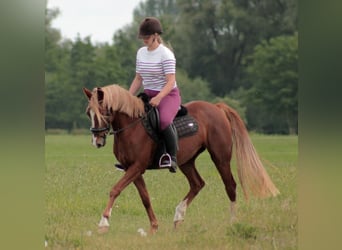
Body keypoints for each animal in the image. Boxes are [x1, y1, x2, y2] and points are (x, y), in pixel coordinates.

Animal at [82, 84, 278, 234]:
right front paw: (154, 227)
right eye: (88, 113)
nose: (97, 141)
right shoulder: (132, 168)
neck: (132, 127)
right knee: (197, 184)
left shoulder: (137, 166)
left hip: (220, 158)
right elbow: (145, 197)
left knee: (230, 186)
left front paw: (103, 223)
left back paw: (233, 222)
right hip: (186, 162)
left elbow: (115, 190)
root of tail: (216, 107)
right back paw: (178, 216)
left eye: (103, 112)